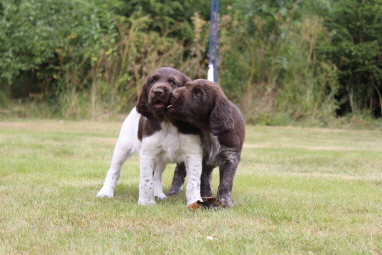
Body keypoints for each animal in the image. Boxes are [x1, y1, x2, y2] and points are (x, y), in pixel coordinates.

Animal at [96, 67, 203, 205]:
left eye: (173, 82)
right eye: (152, 81)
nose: (157, 92)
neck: (168, 121)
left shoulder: (193, 154)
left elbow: (194, 182)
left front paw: (195, 202)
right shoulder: (148, 154)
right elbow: (146, 180)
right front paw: (146, 202)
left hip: (161, 159)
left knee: (157, 175)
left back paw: (158, 194)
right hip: (122, 147)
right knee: (114, 169)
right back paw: (105, 192)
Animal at [166, 79, 245, 207]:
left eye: (197, 94)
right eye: (186, 86)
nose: (172, 93)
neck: (210, 131)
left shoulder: (231, 157)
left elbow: (226, 183)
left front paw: (225, 202)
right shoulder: (200, 157)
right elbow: (203, 181)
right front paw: (206, 198)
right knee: (179, 172)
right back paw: (174, 191)